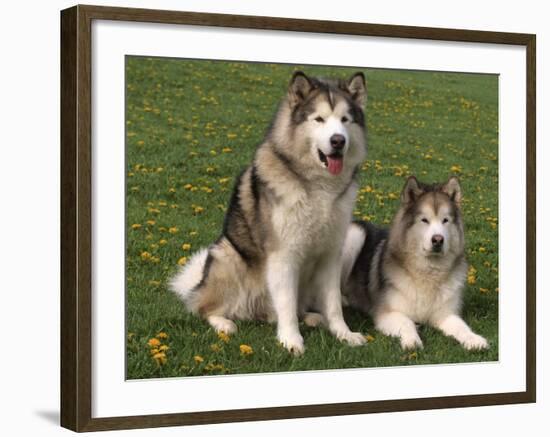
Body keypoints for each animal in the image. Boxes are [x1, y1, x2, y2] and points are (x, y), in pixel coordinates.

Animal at [171, 70, 370, 352]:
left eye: (345, 120)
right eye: (319, 119)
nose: (338, 141)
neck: (319, 186)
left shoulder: (331, 254)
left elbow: (332, 303)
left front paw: (344, 333)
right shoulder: (283, 254)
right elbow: (286, 302)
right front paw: (291, 340)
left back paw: (312, 317)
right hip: (227, 257)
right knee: (204, 307)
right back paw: (223, 322)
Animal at [342, 175, 490, 350]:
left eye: (445, 220)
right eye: (424, 220)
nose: (438, 240)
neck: (429, 273)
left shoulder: (445, 314)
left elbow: (462, 327)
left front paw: (474, 339)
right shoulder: (387, 313)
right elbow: (407, 322)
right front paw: (412, 340)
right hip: (355, 234)